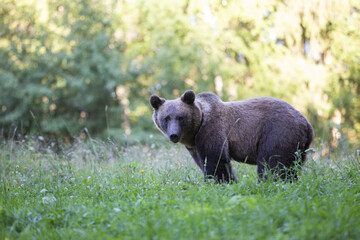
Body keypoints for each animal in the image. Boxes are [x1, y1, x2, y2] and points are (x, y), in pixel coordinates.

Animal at [149, 89, 312, 182]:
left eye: (180, 117)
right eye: (166, 118)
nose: (173, 135)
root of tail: (306, 122)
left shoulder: (212, 130)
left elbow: (216, 159)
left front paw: (219, 182)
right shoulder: (194, 146)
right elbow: (203, 162)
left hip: (278, 132)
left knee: (272, 163)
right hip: (298, 146)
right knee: (291, 165)